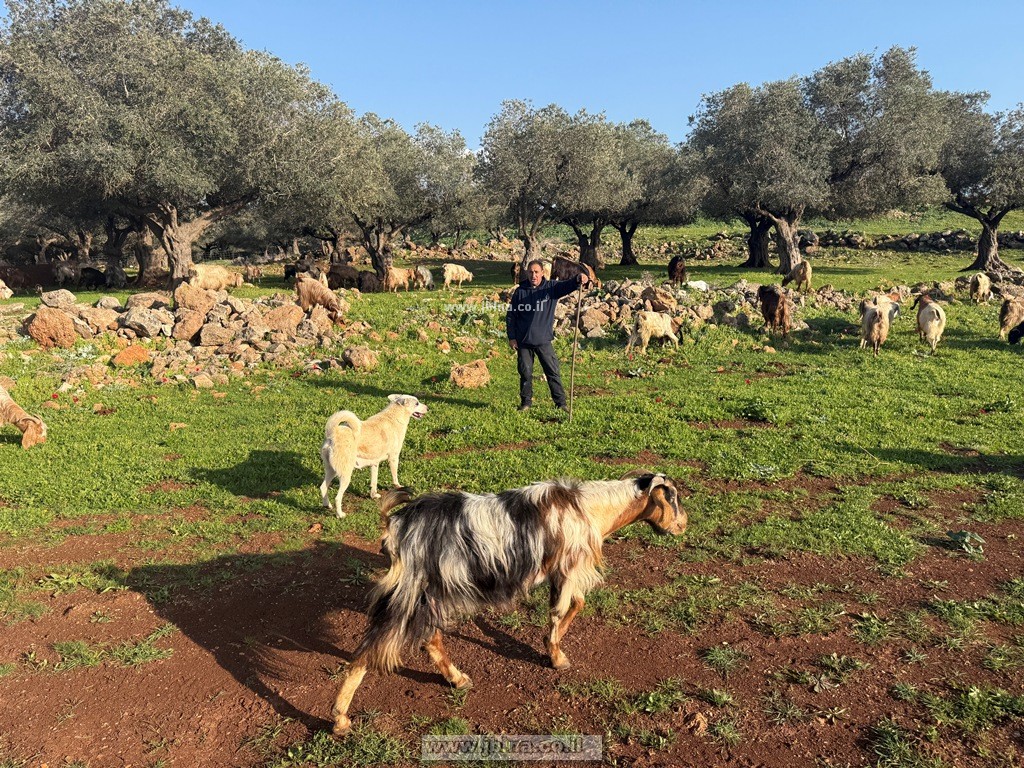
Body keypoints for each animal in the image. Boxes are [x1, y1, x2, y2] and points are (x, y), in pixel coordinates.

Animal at [330, 473, 687, 737]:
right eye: (672, 497)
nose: (683, 525)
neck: (588, 509)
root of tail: (395, 524)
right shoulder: (566, 567)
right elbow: (565, 608)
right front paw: (556, 655)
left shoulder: (561, 570)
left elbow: (574, 605)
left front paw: (553, 648)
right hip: (411, 590)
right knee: (372, 647)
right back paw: (339, 718)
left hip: (427, 593)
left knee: (429, 637)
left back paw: (457, 679)